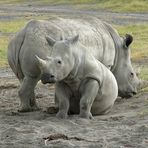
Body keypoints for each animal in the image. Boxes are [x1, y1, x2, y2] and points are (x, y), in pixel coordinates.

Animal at [7, 17, 139, 112]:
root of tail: (23, 34)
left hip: (15, 44)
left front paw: (57, 106)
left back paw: (34, 108)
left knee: (24, 78)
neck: (119, 50)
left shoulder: (62, 69)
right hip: (38, 42)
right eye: (131, 74)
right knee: (32, 77)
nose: (133, 93)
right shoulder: (106, 64)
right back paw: (26, 110)